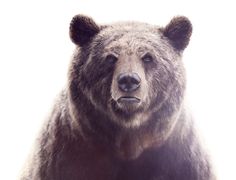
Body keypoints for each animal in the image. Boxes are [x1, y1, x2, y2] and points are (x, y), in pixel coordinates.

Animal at [20, 14, 216, 180]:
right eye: (111, 57)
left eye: (148, 57)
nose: (129, 80)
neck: (128, 140)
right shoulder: (64, 155)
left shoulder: (181, 158)